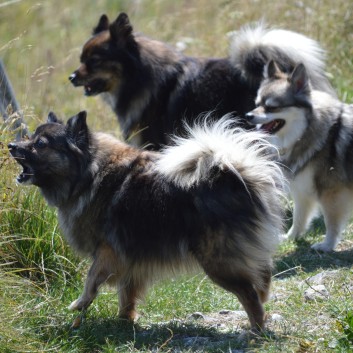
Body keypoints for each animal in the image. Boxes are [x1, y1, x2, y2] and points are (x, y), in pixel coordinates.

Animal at [8, 111, 284, 328]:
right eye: (29, 137)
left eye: (40, 144)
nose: (11, 145)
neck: (88, 173)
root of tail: (236, 176)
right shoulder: (129, 256)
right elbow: (127, 292)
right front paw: (125, 319)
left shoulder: (108, 251)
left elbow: (91, 279)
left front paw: (79, 304)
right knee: (263, 276)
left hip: (218, 261)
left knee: (249, 293)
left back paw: (256, 328)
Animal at [245, 61, 352, 253]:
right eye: (257, 104)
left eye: (272, 107)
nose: (248, 116)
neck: (305, 131)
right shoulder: (302, 190)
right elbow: (299, 218)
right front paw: (290, 238)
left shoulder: (332, 192)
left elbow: (331, 222)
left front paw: (327, 245)